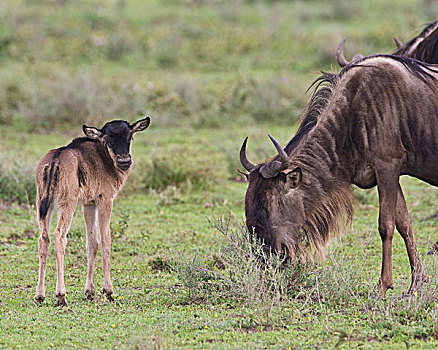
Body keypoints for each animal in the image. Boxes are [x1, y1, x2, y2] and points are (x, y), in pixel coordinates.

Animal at [34, 116, 151, 304]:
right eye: (108, 139)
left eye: (130, 136)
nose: (124, 161)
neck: (103, 157)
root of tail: (53, 162)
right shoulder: (105, 200)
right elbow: (105, 241)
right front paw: (108, 291)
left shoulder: (88, 204)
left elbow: (91, 243)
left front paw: (90, 291)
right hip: (67, 205)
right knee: (59, 236)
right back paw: (61, 295)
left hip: (43, 205)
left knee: (43, 239)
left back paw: (39, 295)